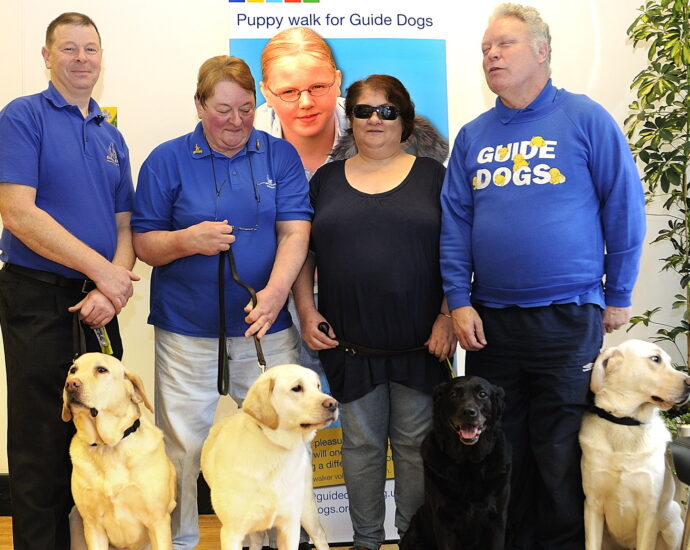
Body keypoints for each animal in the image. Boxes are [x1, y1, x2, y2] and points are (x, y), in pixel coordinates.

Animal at [61, 354, 176, 550]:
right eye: (73, 370)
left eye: (101, 370)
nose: (70, 384)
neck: (107, 445)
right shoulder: (93, 526)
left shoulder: (158, 521)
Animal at [200, 364, 338, 548]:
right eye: (296, 388)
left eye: (318, 386)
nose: (333, 404)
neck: (275, 449)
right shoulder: (232, 532)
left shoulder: (289, 526)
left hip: (307, 509)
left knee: (320, 536)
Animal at [398, 376, 510, 550]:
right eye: (453, 394)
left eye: (482, 394)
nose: (468, 412)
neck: (468, 463)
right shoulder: (443, 518)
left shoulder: (497, 518)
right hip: (413, 534)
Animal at [576, 340, 684, 550]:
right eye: (655, 359)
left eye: (669, 362)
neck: (626, 423)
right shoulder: (592, 505)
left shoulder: (649, 513)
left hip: (673, 522)